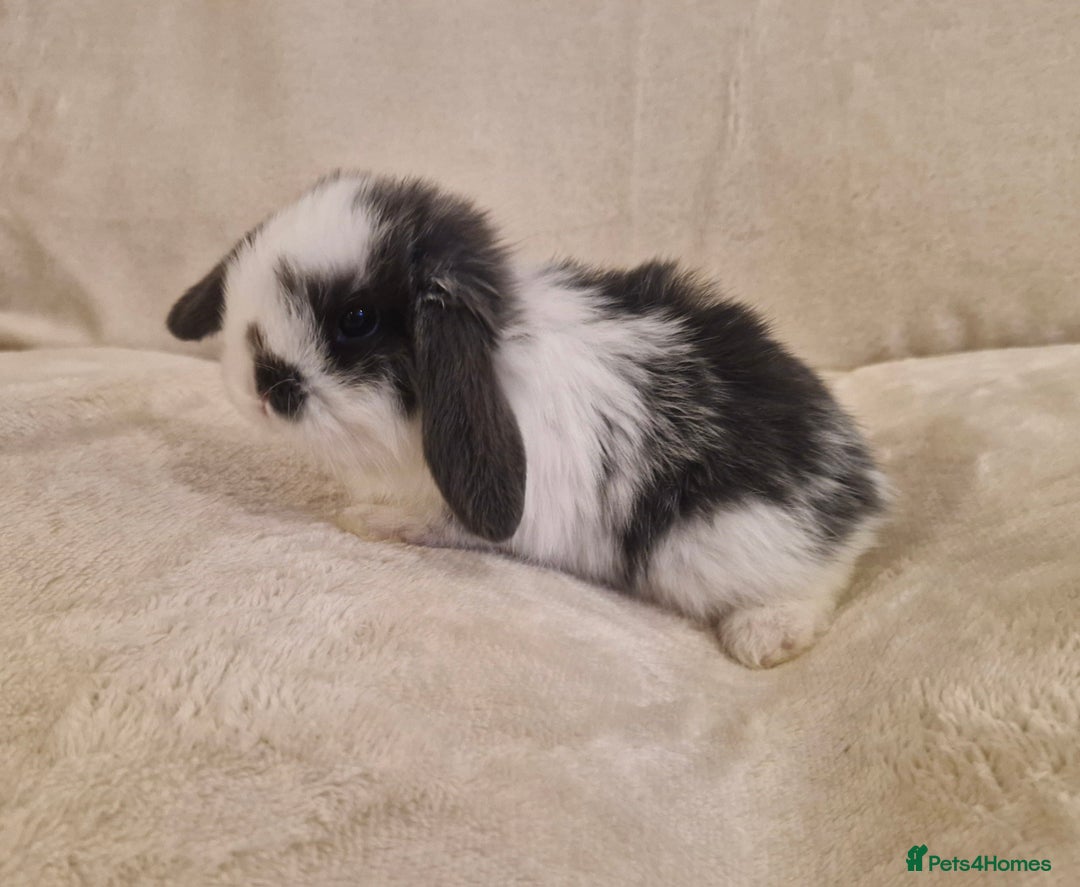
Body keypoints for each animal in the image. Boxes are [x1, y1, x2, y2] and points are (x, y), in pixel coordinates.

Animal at [167, 171, 888, 668]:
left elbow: (439, 524)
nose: (257, 385)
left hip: (722, 543)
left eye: (357, 319)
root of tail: (863, 483)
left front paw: (370, 520)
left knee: (822, 576)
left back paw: (764, 637)